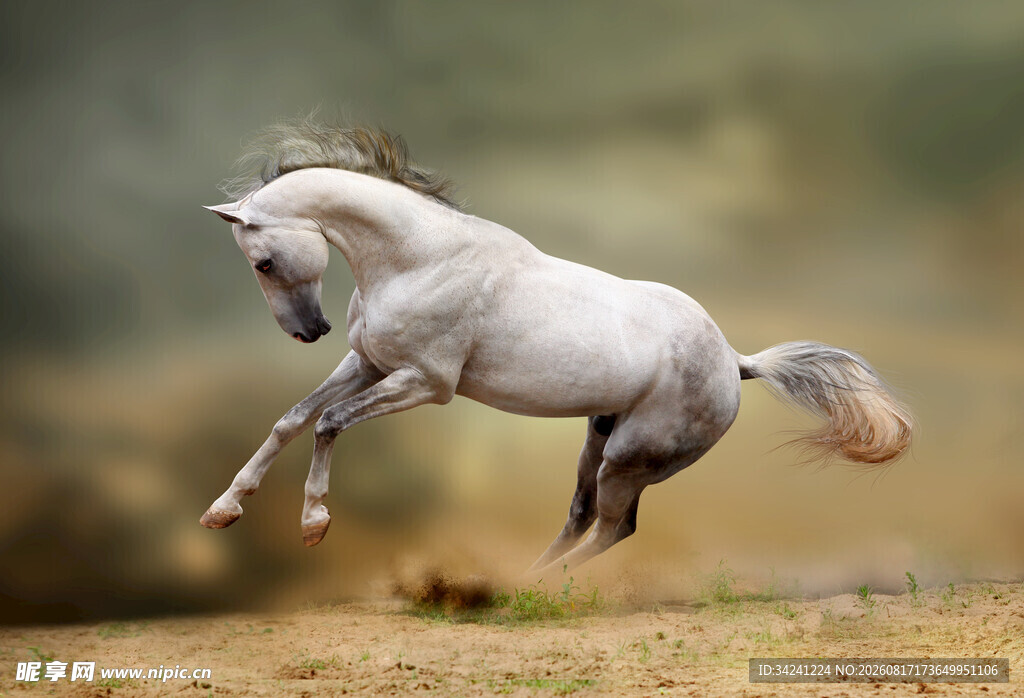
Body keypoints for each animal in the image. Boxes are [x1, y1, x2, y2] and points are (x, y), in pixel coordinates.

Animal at [201, 121, 912, 575]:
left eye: (264, 261)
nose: (309, 331)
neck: (419, 258)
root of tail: (737, 363)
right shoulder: (369, 363)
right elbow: (293, 418)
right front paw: (223, 510)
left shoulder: (426, 383)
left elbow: (328, 421)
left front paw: (313, 524)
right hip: (598, 439)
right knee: (580, 514)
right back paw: (523, 582)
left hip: (630, 457)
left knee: (614, 527)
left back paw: (545, 589)